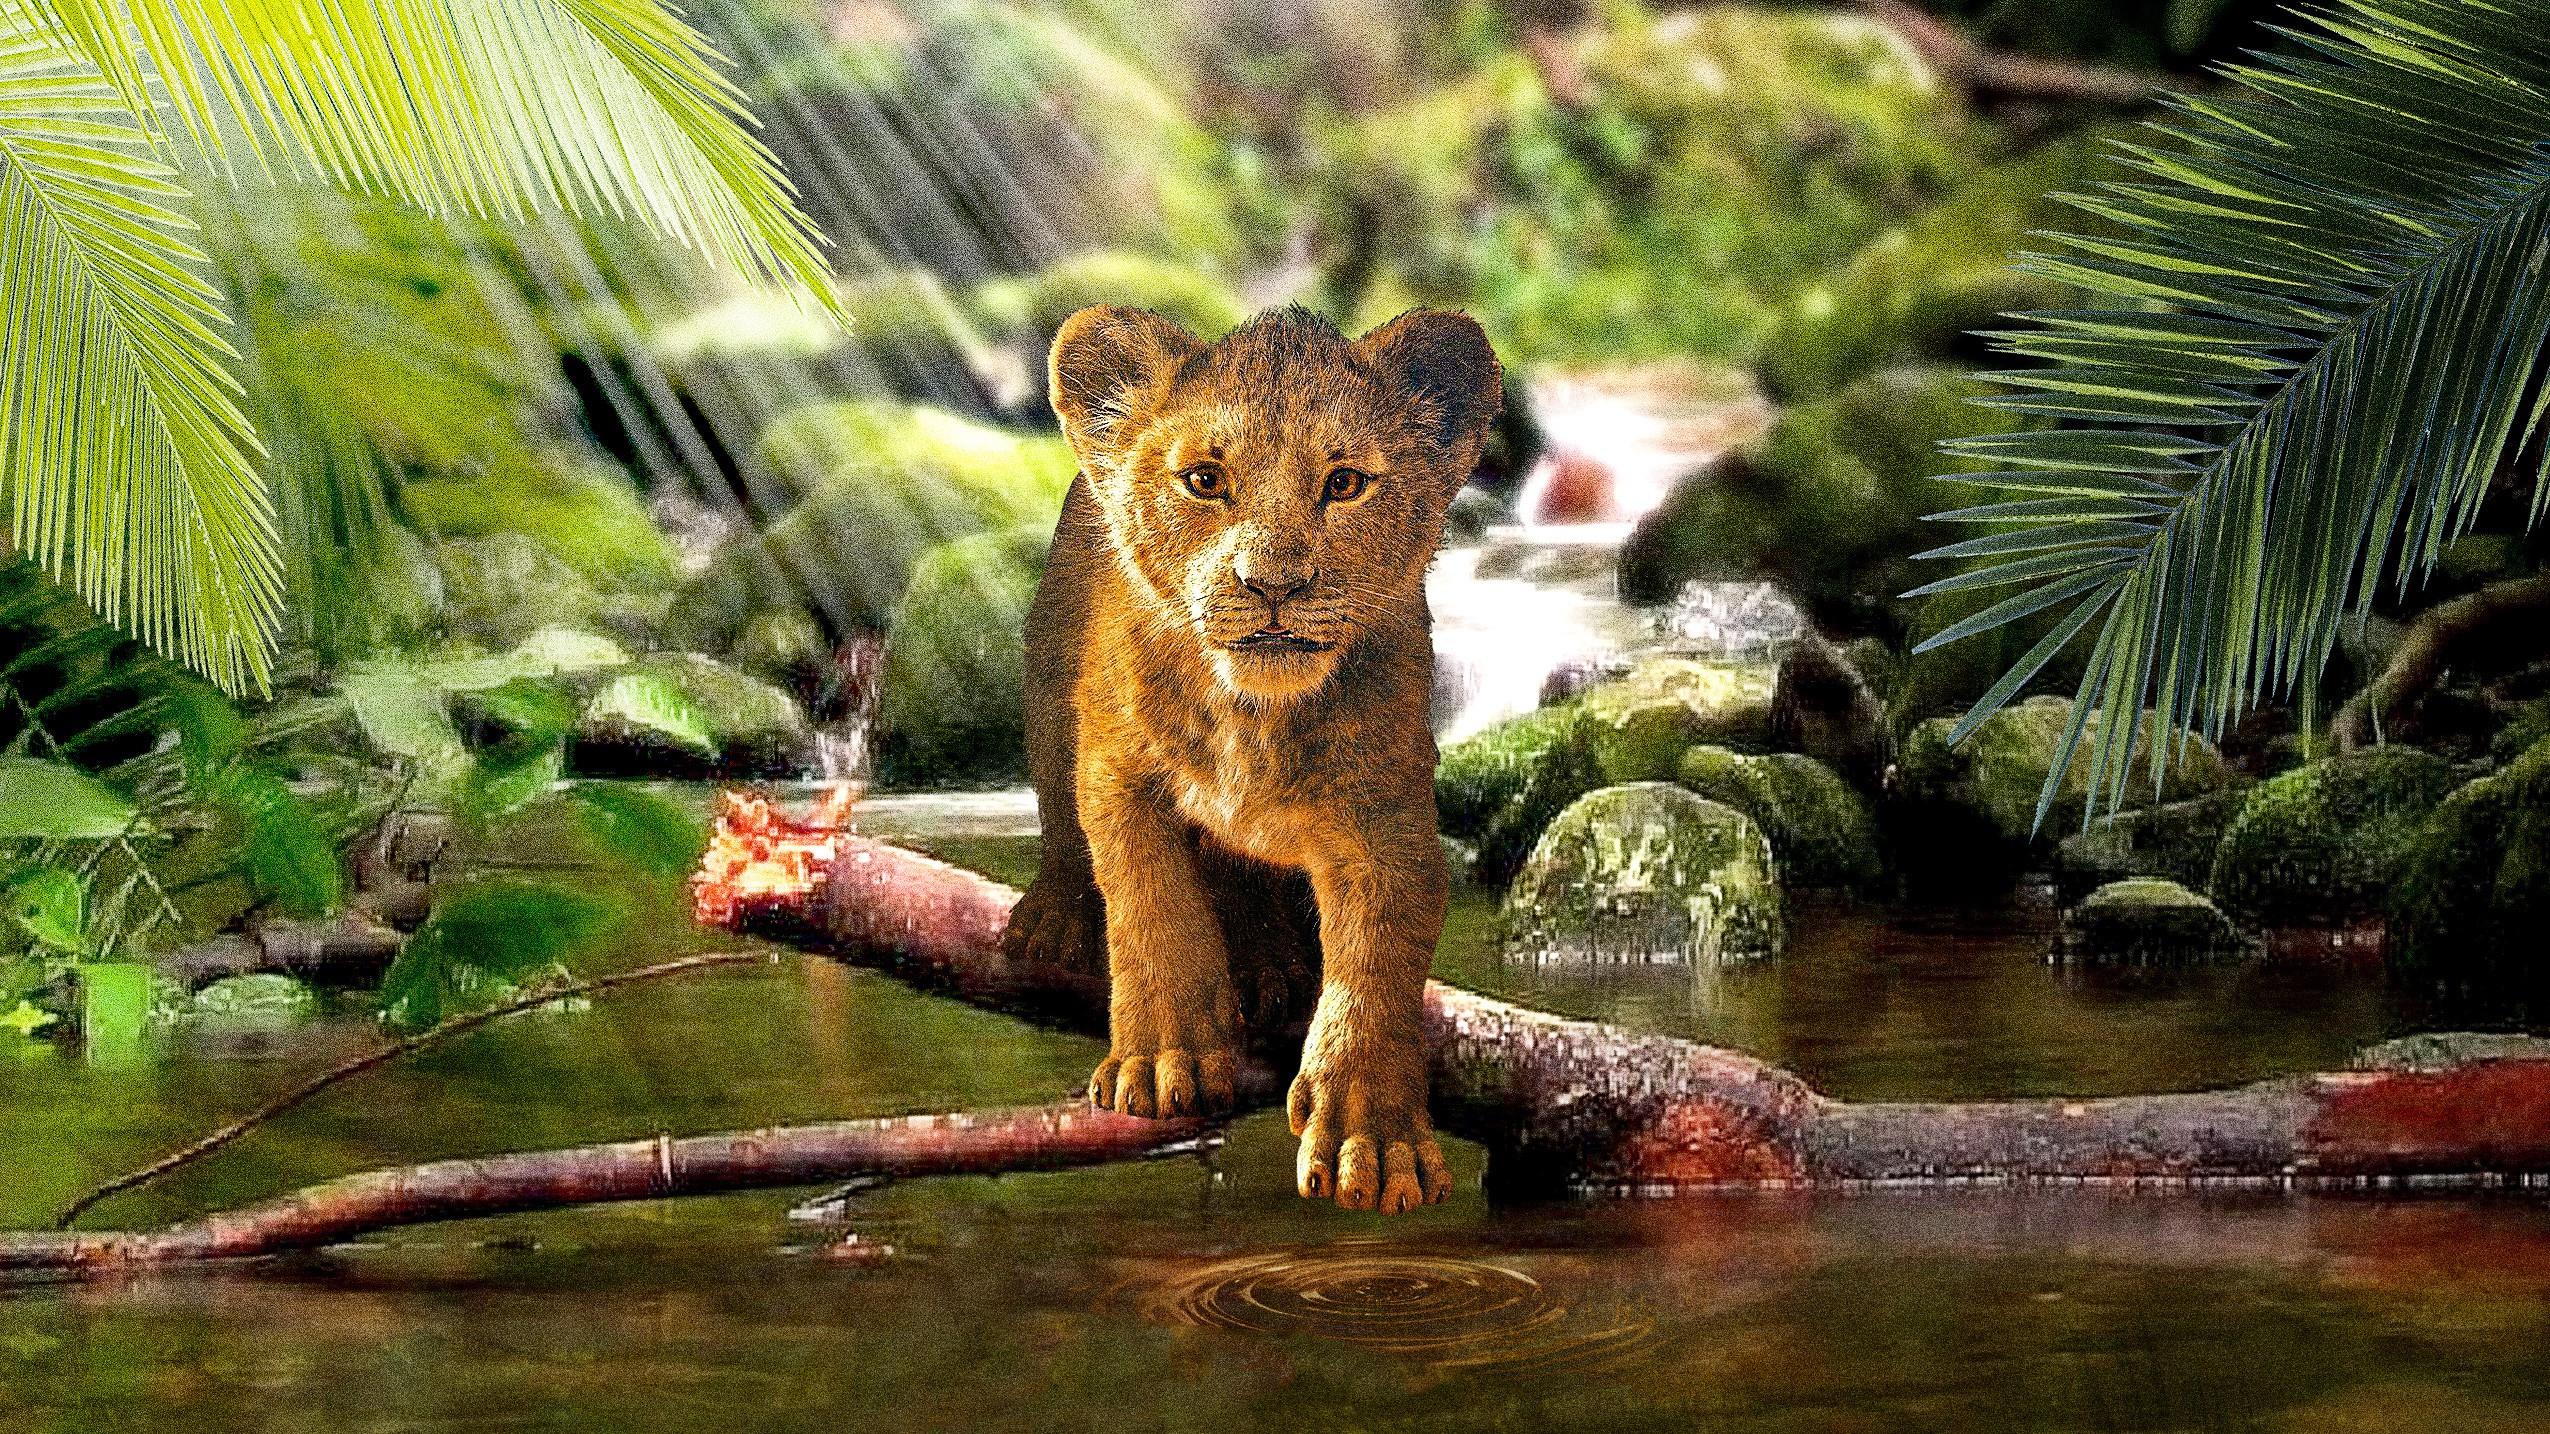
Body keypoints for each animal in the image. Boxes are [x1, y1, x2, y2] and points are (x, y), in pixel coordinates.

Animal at [998, 303, 1502, 1213]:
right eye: (1204, 480)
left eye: (1344, 484)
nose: (1273, 584)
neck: (1254, 717)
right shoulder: (1117, 769)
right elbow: (1151, 905)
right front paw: (1164, 1059)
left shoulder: (1387, 816)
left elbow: (1376, 966)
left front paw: (1372, 1140)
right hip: (1050, 681)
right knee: (1060, 818)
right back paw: (1056, 919)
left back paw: (1278, 967)